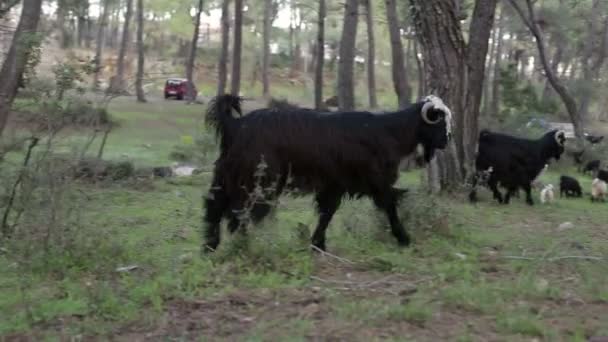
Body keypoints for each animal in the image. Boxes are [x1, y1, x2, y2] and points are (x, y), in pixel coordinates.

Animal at [202, 93, 454, 251]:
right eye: (440, 121)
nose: (447, 141)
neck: (389, 131)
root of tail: (235, 124)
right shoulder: (377, 180)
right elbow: (390, 206)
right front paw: (403, 238)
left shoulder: (334, 183)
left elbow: (327, 212)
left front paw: (318, 244)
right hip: (256, 179)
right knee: (240, 210)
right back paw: (240, 243)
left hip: (227, 174)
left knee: (216, 205)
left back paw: (210, 246)